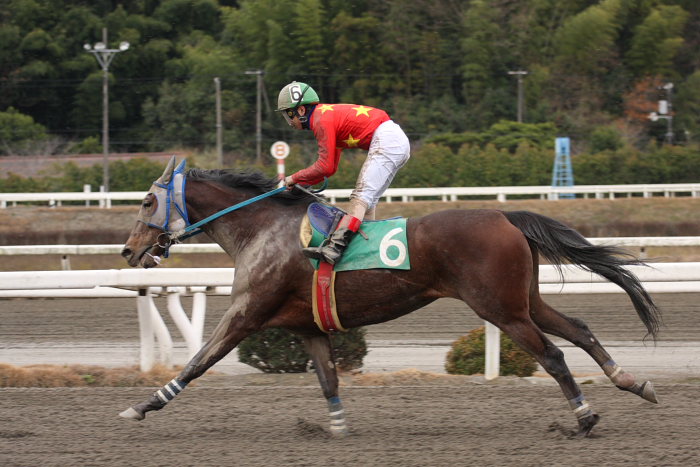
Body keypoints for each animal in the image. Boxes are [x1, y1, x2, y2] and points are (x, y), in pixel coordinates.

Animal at [120, 158, 660, 438]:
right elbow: (328, 379)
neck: (261, 230)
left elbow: (199, 362)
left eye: (147, 201)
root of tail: (506, 216)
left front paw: (143, 406)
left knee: (552, 355)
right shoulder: (306, 327)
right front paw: (337, 429)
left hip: (500, 309)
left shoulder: (246, 313)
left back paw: (584, 418)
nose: (128, 251)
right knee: (579, 331)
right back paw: (634, 383)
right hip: (523, 301)